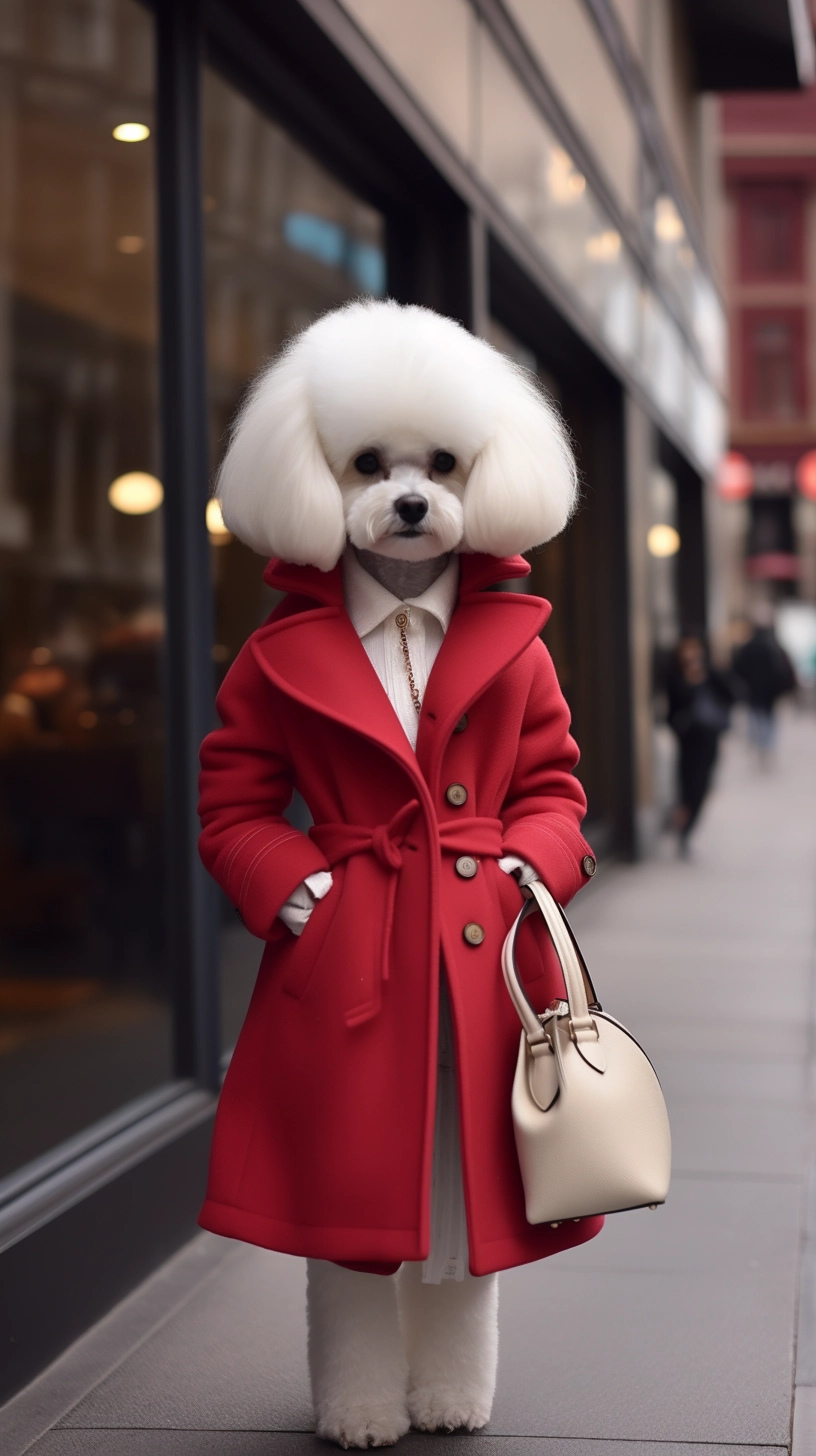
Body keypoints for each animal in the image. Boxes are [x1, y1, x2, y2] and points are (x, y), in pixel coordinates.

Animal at [214, 301, 577, 1450]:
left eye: (448, 463)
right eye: (368, 463)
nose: (413, 504)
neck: (411, 606)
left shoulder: (535, 701)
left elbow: (550, 784)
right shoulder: (249, 687)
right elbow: (233, 796)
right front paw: (363, 1417)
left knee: (458, 1270)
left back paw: (452, 1399)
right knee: (361, 1276)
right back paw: (377, 1406)